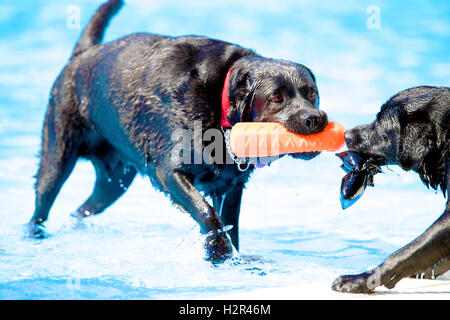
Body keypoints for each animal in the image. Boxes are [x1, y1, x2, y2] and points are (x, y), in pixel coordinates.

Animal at [29, 0, 328, 260]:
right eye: (277, 98)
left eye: (311, 93)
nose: (315, 118)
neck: (219, 105)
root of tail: (81, 55)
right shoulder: (170, 172)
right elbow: (208, 214)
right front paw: (218, 252)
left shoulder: (231, 187)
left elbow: (231, 225)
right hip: (57, 157)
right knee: (42, 204)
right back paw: (35, 237)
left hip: (115, 181)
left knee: (84, 209)